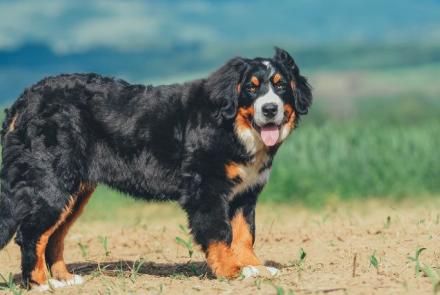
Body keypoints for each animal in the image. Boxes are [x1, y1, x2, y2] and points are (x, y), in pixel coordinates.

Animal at [0, 47, 312, 290]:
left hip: (74, 192)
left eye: (280, 85)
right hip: (51, 182)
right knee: (32, 234)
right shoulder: (207, 189)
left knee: (54, 236)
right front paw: (232, 272)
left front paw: (256, 269)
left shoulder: (245, 194)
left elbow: (246, 235)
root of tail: (26, 98)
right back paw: (41, 284)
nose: (270, 109)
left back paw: (65, 279)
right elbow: (219, 234)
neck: (234, 126)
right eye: (251, 87)